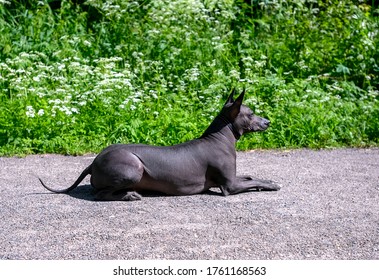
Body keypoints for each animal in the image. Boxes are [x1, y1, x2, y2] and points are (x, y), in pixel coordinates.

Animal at [40, 88, 280, 200]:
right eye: (251, 113)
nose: (268, 121)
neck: (219, 137)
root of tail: (93, 163)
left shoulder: (234, 177)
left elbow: (251, 177)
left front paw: (267, 180)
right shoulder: (229, 186)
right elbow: (250, 182)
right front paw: (273, 185)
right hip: (134, 168)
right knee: (99, 195)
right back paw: (129, 195)